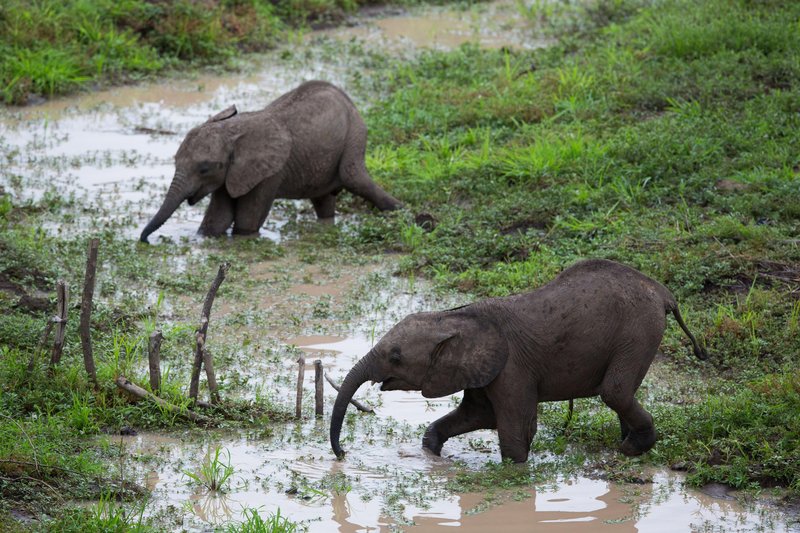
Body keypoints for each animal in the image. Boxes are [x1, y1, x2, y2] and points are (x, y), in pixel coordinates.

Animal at [139, 80, 400, 242]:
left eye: (204, 169)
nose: (144, 240)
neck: (232, 131)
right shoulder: (232, 173)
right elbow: (218, 218)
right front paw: (204, 237)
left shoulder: (268, 173)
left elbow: (246, 222)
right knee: (324, 199)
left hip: (355, 134)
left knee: (354, 178)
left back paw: (401, 212)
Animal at [332, 258, 708, 462]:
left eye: (395, 357)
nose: (343, 454)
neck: (456, 317)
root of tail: (663, 292)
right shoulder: (484, 369)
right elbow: (476, 414)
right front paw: (432, 452)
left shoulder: (512, 369)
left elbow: (515, 431)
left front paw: (514, 470)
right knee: (621, 393)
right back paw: (626, 443)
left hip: (639, 331)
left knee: (614, 391)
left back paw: (633, 448)